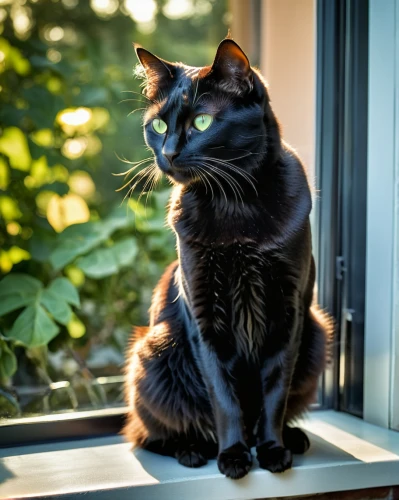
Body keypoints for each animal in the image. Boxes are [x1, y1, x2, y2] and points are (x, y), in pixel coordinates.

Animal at [123, 37, 332, 478]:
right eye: (159, 125)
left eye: (202, 122)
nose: (168, 153)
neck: (233, 204)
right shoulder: (204, 317)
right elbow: (223, 396)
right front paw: (234, 455)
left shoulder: (289, 314)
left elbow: (274, 392)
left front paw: (272, 450)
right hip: (154, 352)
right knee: (147, 434)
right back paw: (193, 448)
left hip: (317, 334)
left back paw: (292, 438)